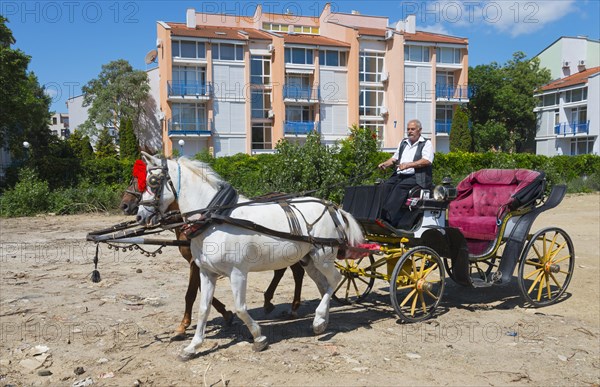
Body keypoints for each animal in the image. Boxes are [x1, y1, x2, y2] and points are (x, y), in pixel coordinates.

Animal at [120, 171, 304, 338]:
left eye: (146, 182)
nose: (124, 206)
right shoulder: (201, 263)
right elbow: (202, 290)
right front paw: (226, 313)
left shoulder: (195, 262)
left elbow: (191, 293)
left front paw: (183, 325)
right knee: (288, 271)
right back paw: (273, 303)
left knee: (295, 272)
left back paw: (291, 307)